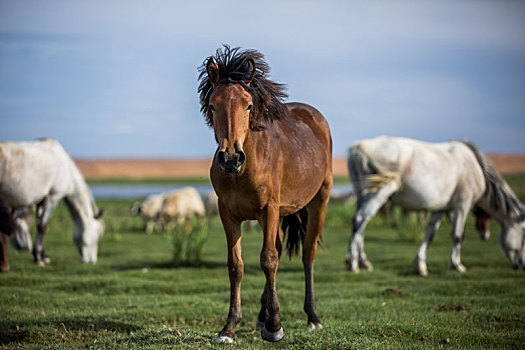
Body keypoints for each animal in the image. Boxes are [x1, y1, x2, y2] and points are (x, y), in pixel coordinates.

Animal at [199, 45, 334, 342]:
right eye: (213, 105)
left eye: (248, 105)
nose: (230, 157)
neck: (243, 171)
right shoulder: (228, 214)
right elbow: (236, 266)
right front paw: (230, 327)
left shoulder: (269, 209)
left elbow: (268, 260)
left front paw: (275, 327)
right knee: (281, 248)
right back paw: (262, 316)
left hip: (319, 201)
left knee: (307, 254)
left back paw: (313, 317)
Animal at [346, 137, 520, 276]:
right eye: (524, 232)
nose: (520, 266)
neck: (475, 168)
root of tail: (358, 147)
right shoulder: (462, 205)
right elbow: (458, 236)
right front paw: (457, 265)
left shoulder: (440, 209)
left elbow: (430, 234)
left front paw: (421, 265)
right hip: (379, 192)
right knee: (360, 221)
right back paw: (353, 264)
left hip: (362, 194)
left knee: (358, 224)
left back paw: (361, 261)